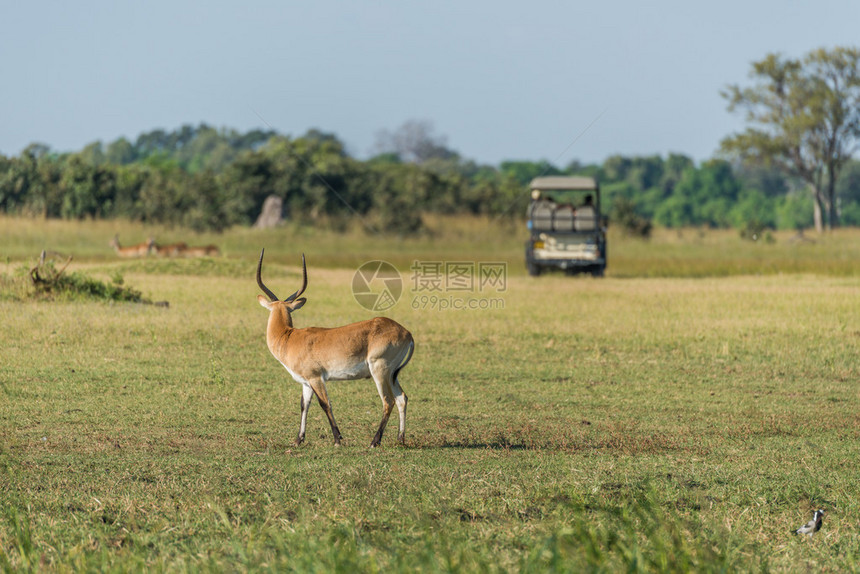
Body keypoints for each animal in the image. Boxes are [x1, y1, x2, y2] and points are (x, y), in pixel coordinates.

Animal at [255, 252, 414, 450]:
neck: (289, 337)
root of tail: (406, 332)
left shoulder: (316, 378)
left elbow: (325, 404)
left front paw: (337, 439)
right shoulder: (306, 382)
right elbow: (304, 405)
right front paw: (298, 439)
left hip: (380, 371)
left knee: (388, 401)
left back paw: (374, 442)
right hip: (392, 374)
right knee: (402, 398)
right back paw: (400, 439)